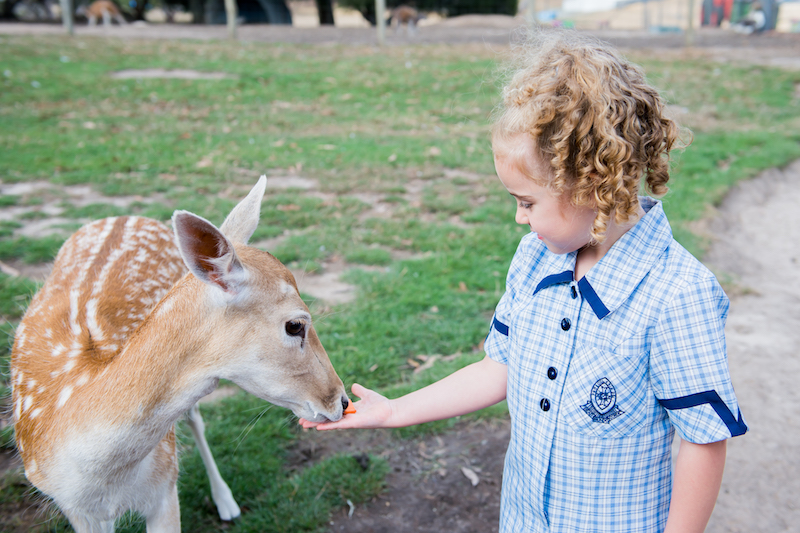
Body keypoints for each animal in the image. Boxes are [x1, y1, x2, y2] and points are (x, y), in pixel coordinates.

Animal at [8, 177, 346, 528]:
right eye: (295, 325)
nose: (342, 401)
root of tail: (124, 216)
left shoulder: (165, 486)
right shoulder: (76, 511)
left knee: (196, 419)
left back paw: (226, 501)